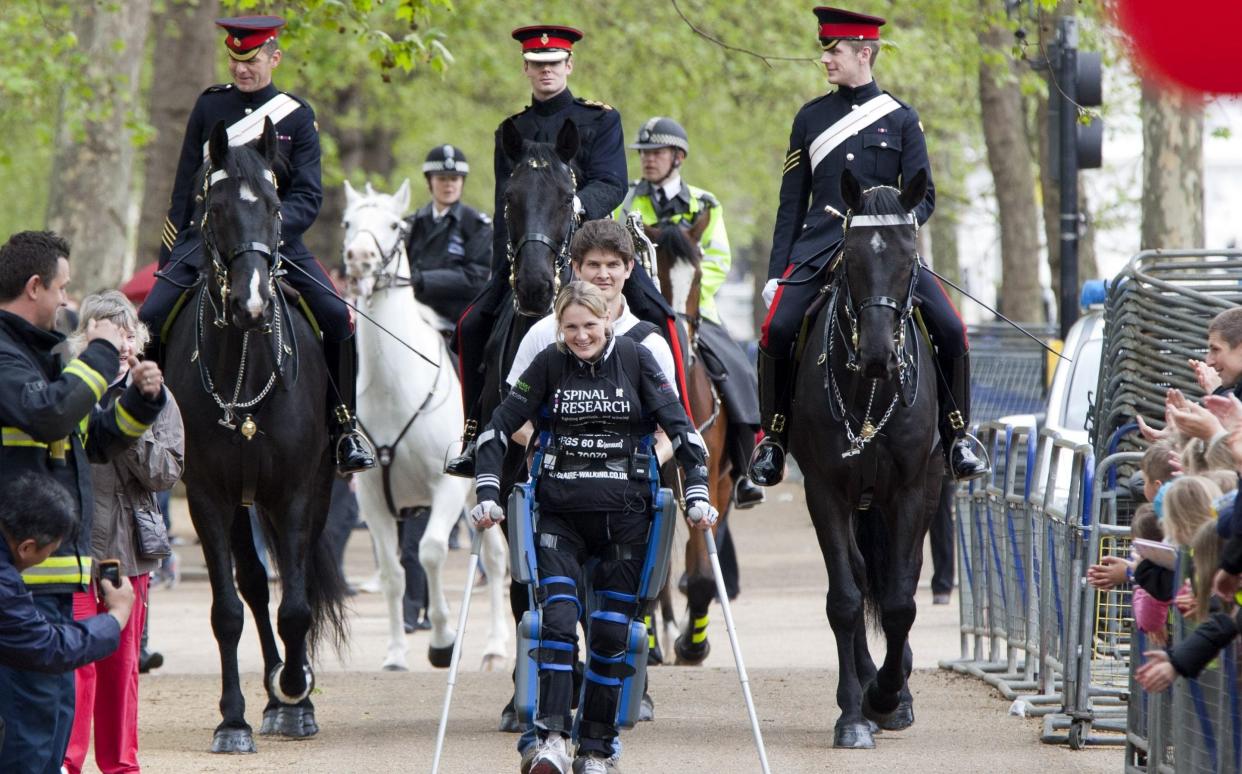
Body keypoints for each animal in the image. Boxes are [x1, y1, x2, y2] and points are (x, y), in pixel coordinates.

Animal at [165, 118, 347, 755]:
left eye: (274, 206)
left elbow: (296, 605)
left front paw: (298, 696)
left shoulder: (294, 492)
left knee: (291, 583)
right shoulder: (207, 498)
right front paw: (235, 720)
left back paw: (290, 690)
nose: (250, 303)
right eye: (214, 209)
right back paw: (267, 693)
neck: (242, 364)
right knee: (253, 586)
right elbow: (228, 610)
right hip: (242, 502)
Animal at [342, 180, 506, 670]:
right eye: (348, 222)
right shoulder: (373, 499)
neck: (395, 390)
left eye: (395, 225)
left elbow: (431, 552)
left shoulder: (446, 488)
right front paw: (397, 653)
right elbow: (393, 573)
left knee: (496, 560)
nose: (359, 258)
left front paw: (443, 640)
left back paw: (495, 647)